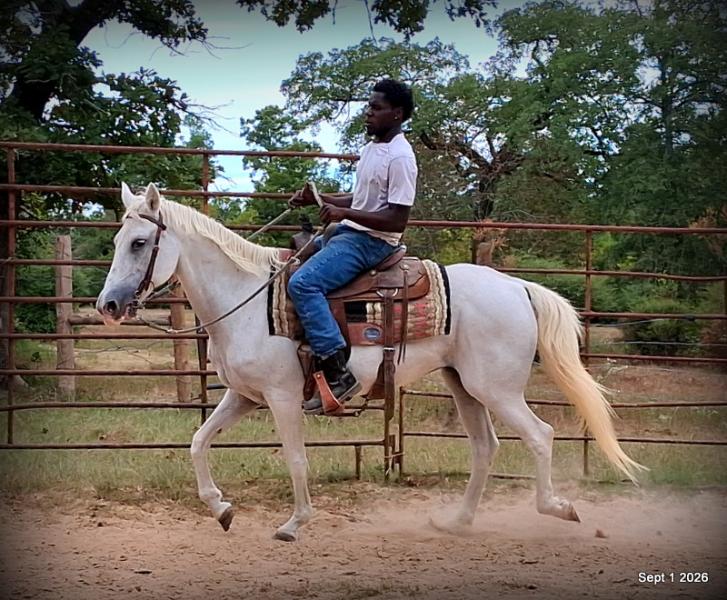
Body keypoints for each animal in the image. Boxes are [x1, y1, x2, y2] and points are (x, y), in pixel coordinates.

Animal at [97, 183, 643, 541]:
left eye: (140, 243)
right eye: (117, 241)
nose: (108, 305)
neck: (247, 300)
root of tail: (516, 286)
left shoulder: (281, 398)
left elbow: (295, 458)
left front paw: (294, 523)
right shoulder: (243, 396)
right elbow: (197, 442)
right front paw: (221, 508)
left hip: (497, 388)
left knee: (539, 435)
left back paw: (557, 507)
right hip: (464, 385)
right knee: (485, 447)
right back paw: (457, 521)